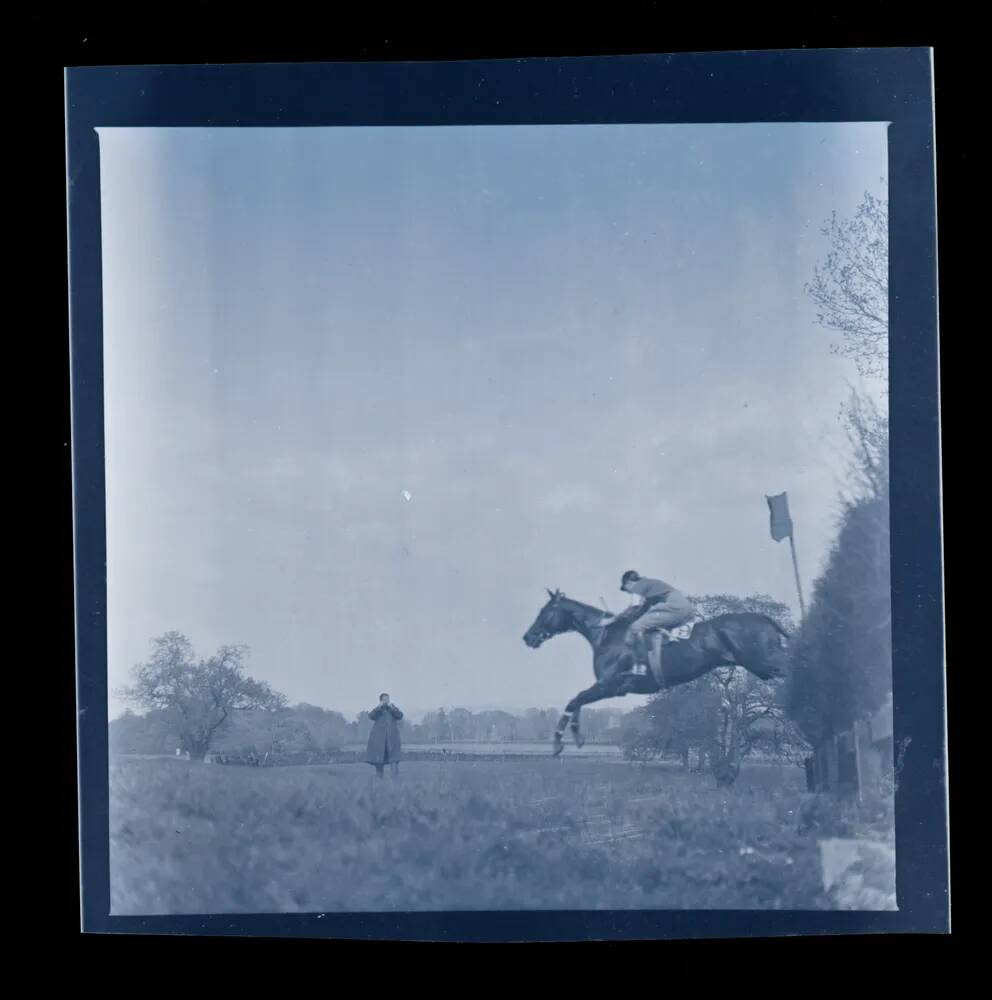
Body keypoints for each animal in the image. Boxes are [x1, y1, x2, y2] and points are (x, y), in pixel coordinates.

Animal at [520, 584, 792, 756]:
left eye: (545, 612)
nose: (528, 637)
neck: (606, 635)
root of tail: (764, 618)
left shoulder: (610, 685)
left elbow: (574, 699)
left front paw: (559, 741)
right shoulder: (609, 687)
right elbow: (576, 701)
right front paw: (575, 737)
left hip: (765, 661)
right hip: (763, 666)